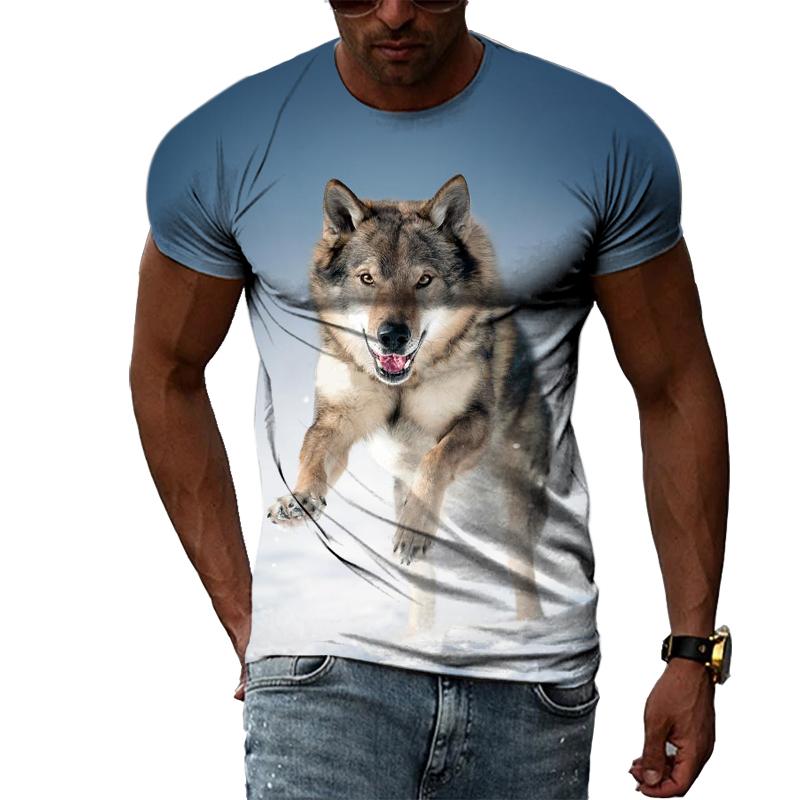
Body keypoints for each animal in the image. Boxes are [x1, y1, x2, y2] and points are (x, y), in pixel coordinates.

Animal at [266, 174, 552, 622]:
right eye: (367, 278)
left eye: (424, 280)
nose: (392, 336)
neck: (399, 385)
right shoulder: (337, 421)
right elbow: (312, 458)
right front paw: (300, 502)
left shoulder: (475, 421)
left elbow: (435, 460)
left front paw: (417, 527)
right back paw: (421, 637)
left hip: (513, 503)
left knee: (521, 569)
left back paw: (531, 631)